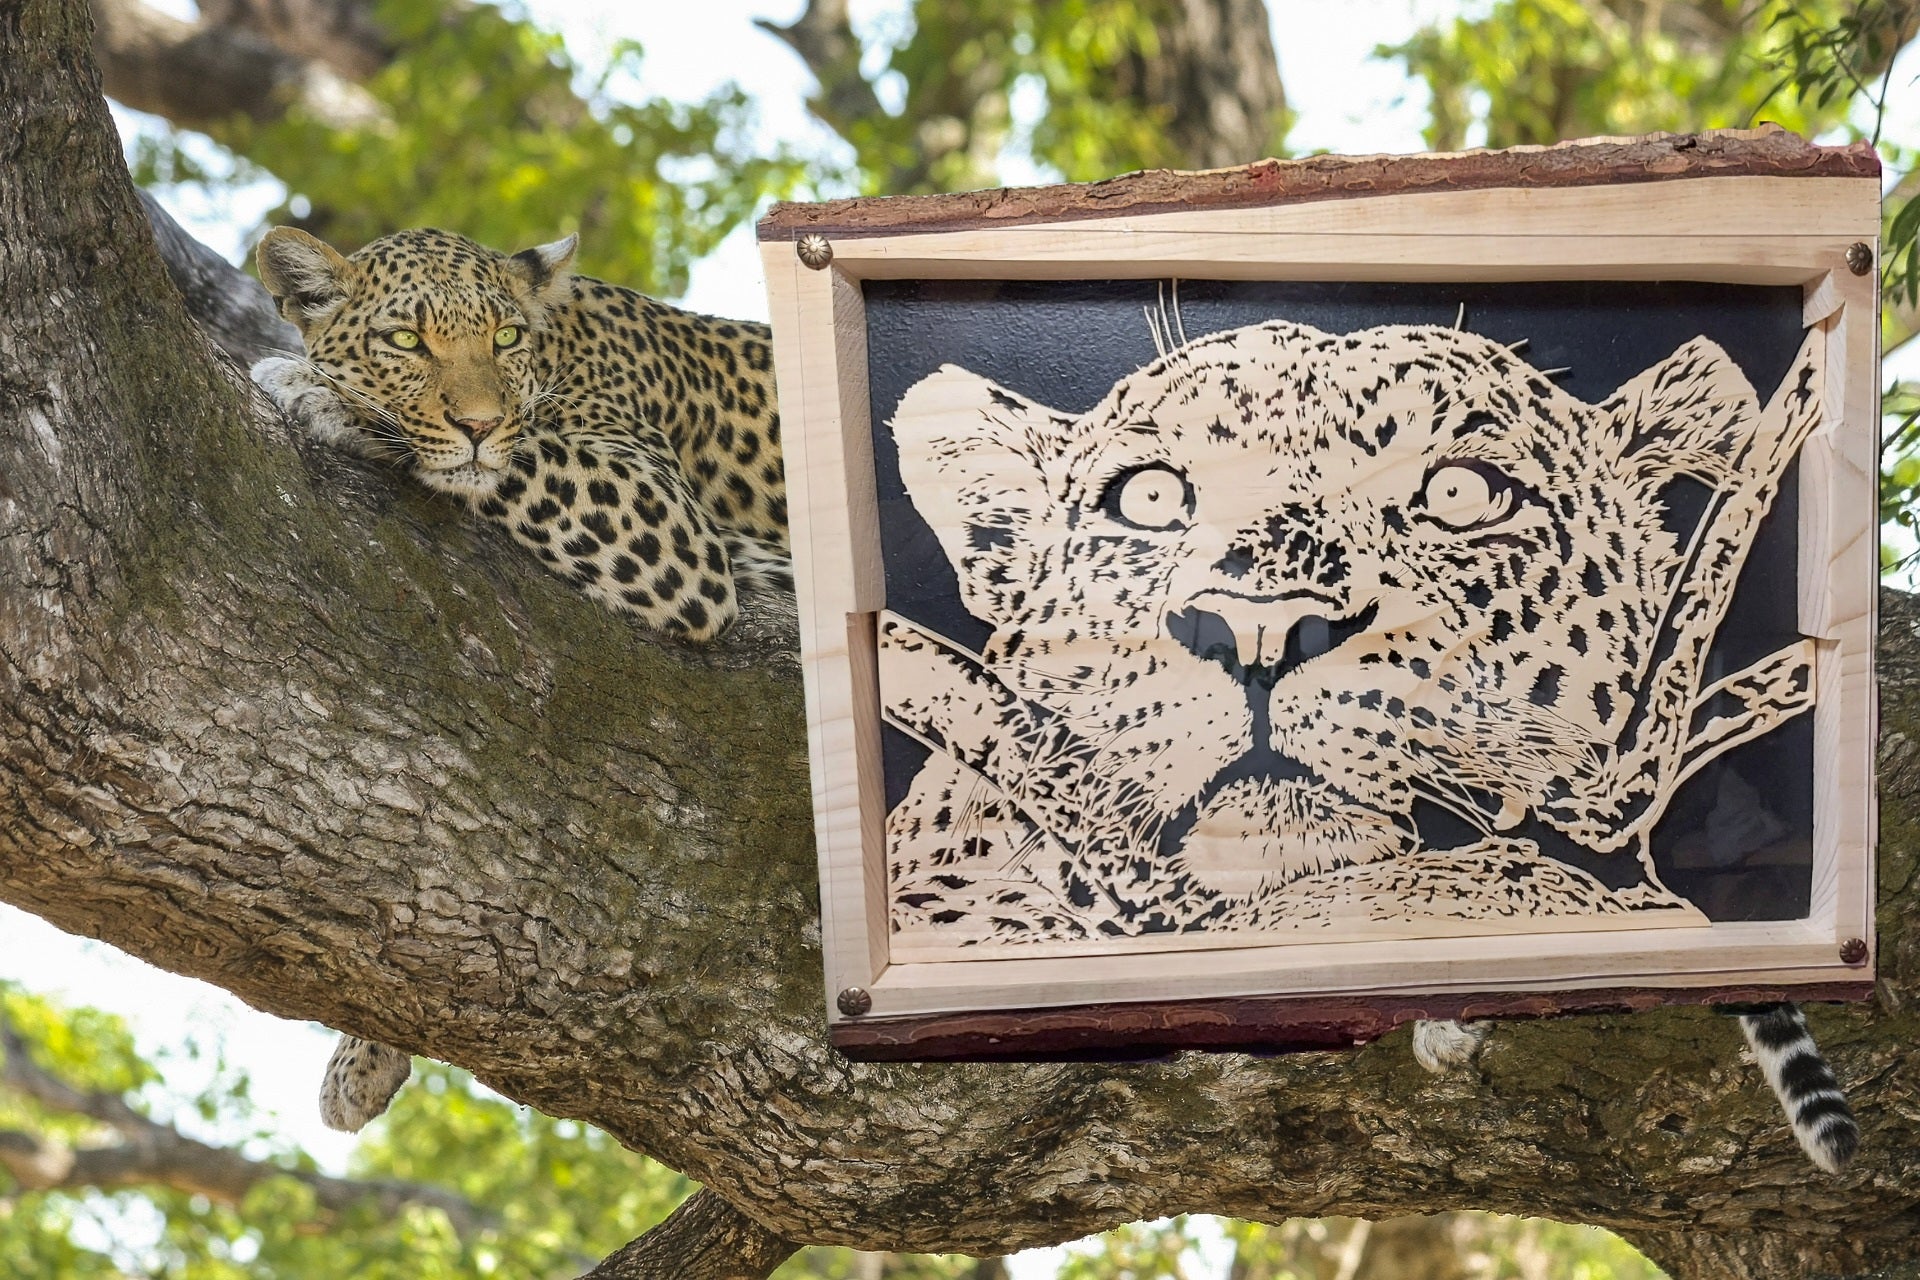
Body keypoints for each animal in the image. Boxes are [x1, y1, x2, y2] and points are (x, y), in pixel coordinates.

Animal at [248, 225, 791, 1133]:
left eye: (503, 338)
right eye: (406, 341)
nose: (476, 420)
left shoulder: (666, 523)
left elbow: (515, 455)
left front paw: (316, 391)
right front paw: (361, 1060)